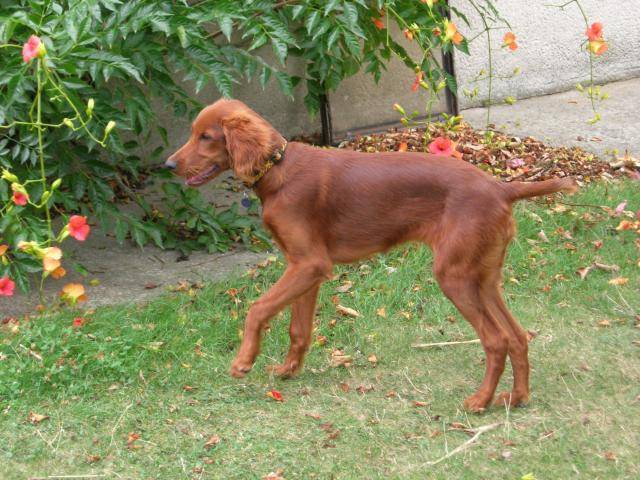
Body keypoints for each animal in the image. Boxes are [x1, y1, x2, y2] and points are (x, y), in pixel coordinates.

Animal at [165, 98, 577, 412]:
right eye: (193, 132)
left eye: (206, 137)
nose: (168, 165)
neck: (278, 168)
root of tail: (500, 188)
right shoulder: (305, 269)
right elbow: (299, 328)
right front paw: (288, 370)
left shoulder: (309, 264)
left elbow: (257, 309)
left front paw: (244, 361)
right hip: (484, 276)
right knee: (518, 335)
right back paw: (517, 397)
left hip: (455, 276)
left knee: (496, 340)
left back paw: (479, 401)